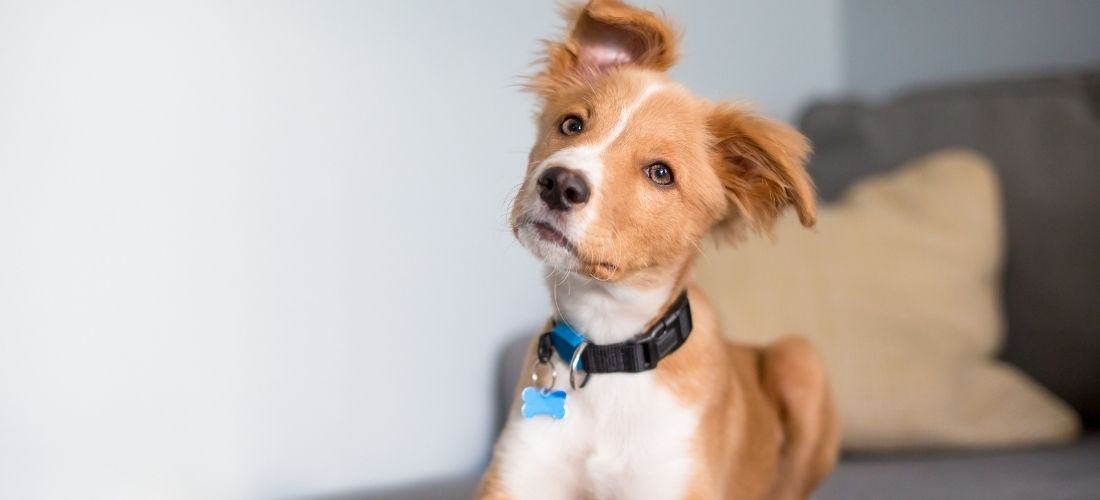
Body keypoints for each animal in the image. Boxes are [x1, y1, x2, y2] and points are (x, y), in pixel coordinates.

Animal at [477, 1, 836, 498]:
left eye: (661, 173)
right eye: (572, 124)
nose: (558, 184)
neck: (607, 349)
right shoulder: (516, 478)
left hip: (800, 359)